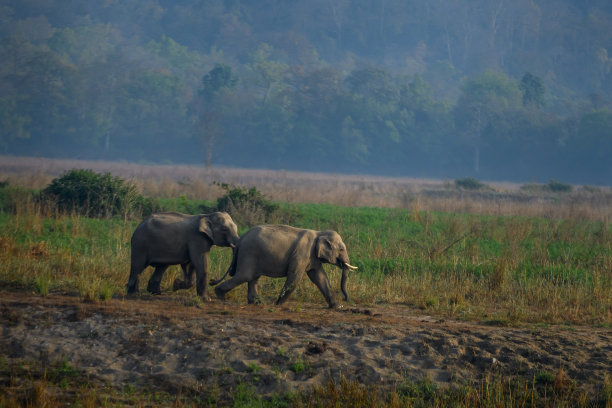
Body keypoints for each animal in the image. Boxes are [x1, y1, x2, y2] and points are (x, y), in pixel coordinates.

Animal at [212, 225, 358, 308]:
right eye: (341, 249)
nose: (345, 299)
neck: (319, 233)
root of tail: (241, 239)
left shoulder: (313, 258)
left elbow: (319, 277)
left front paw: (337, 306)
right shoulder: (301, 254)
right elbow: (295, 276)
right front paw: (278, 304)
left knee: (253, 277)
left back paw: (257, 303)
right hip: (249, 252)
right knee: (245, 275)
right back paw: (220, 295)